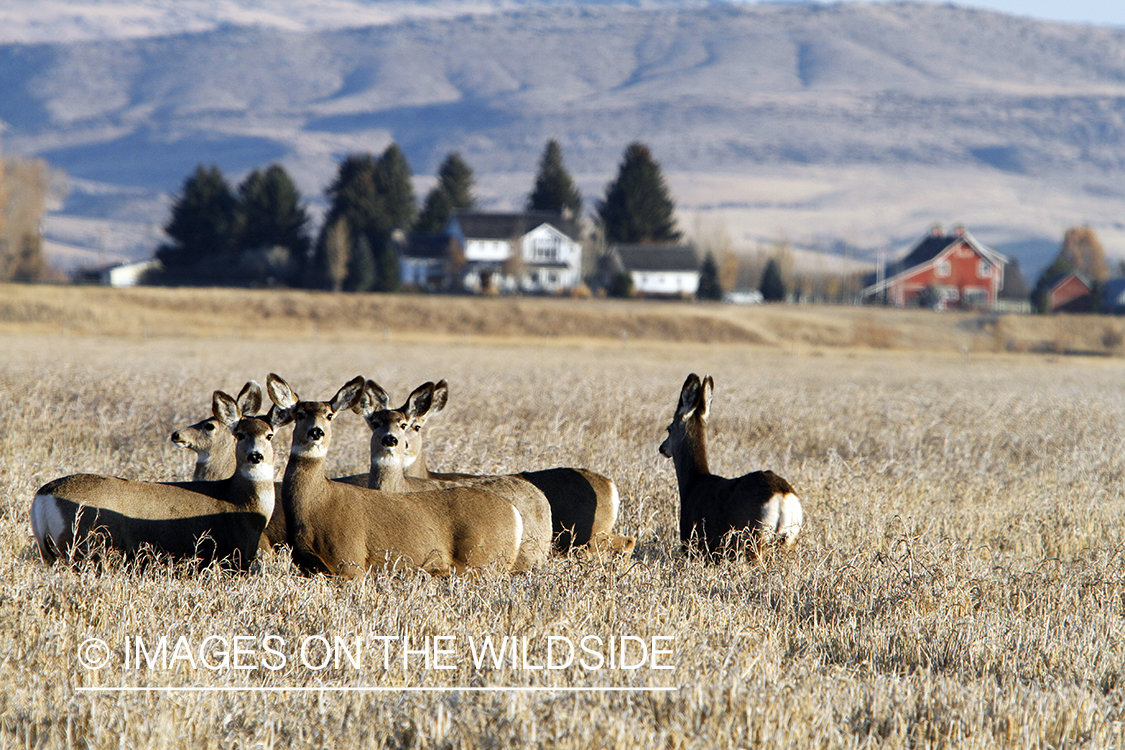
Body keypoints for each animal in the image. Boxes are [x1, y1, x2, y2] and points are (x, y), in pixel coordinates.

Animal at [30, 390, 278, 570]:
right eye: (240, 435)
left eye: (269, 435)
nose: (256, 456)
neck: (238, 499)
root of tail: (43, 496)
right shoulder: (233, 556)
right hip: (83, 548)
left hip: (49, 553)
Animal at [265, 374, 524, 578]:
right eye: (299, 414)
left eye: (329, 415)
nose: (315, 432)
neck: (316, 504)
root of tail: (514, 513)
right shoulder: (307, 566)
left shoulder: (350, 560)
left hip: (482, 562)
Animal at [659, 373, 803, 559]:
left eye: (668, 429)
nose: (662, 448)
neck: (693, 483)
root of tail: (783, 495)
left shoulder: (696, 546)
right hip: (789, 540)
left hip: (755, 538)